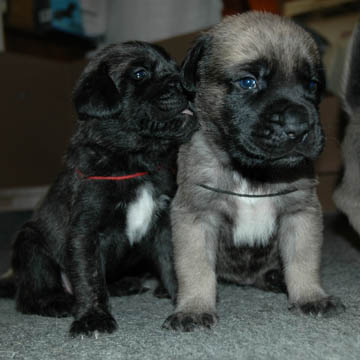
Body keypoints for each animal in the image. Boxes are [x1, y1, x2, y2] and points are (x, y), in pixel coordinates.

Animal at [0, 41, 197, 338]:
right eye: (139, 74)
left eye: (176, 67)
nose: (185, 85)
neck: (134, 159)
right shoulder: (87, 231)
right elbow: (89, 276)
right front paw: (92, 318)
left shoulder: (163, 224)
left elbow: (172, 263)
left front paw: (183, 303)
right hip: (30, 243)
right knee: (29, 293)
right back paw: (55, 301)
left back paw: (123, 284)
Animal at [164, 11, 346, 332]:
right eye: (248, 82)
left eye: (312, 86)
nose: (299, 126)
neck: (252, 172)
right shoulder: (196, 216)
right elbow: (195, 267)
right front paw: (194, 307)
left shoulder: (300, 213)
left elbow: (303, 259)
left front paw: (310, 296)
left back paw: (276, 277)